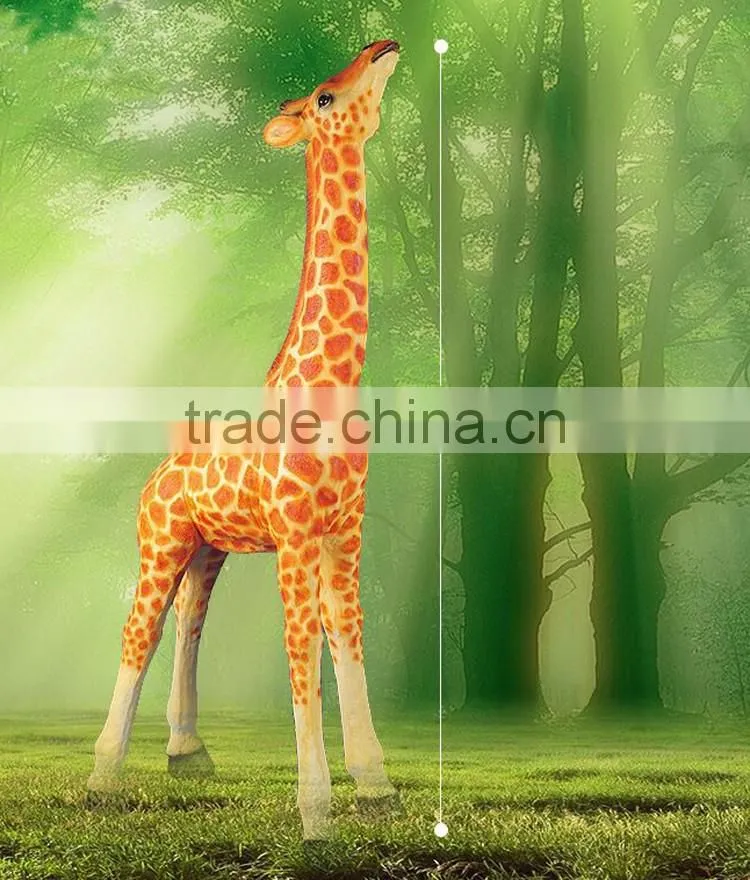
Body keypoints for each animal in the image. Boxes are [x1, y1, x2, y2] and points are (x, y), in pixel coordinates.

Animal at [87, 39, 400, 840]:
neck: (328, 384)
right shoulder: (294, 532)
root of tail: (154, 477)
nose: (381, 47)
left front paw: (377, 789)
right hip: (161, 538)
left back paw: (187, 754)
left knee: (186, 626)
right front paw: (316, 816)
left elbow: (348, 642)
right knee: (137, 632)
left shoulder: (344, 531)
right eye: (324, 96)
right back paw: (103, 778)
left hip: (208, 550)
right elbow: (302, 651)